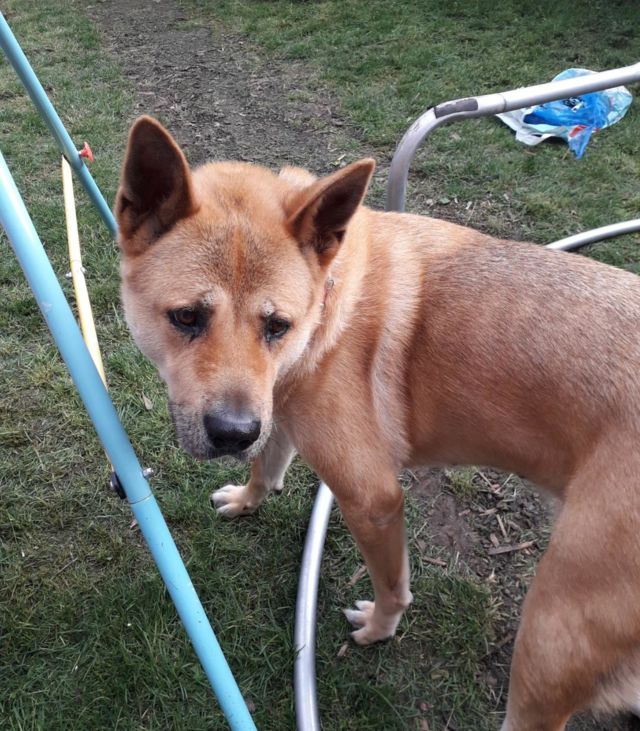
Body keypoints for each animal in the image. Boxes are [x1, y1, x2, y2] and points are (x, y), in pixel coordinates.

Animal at [115, 115, 640, 730]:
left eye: (276, 325)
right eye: (186, 317)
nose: (232, 435)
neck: (328, 297)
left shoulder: (373, 500)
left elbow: (394, 586)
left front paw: (379, 628)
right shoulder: (278, 412)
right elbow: (267, 466)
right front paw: (247, 499)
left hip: (550, 637)